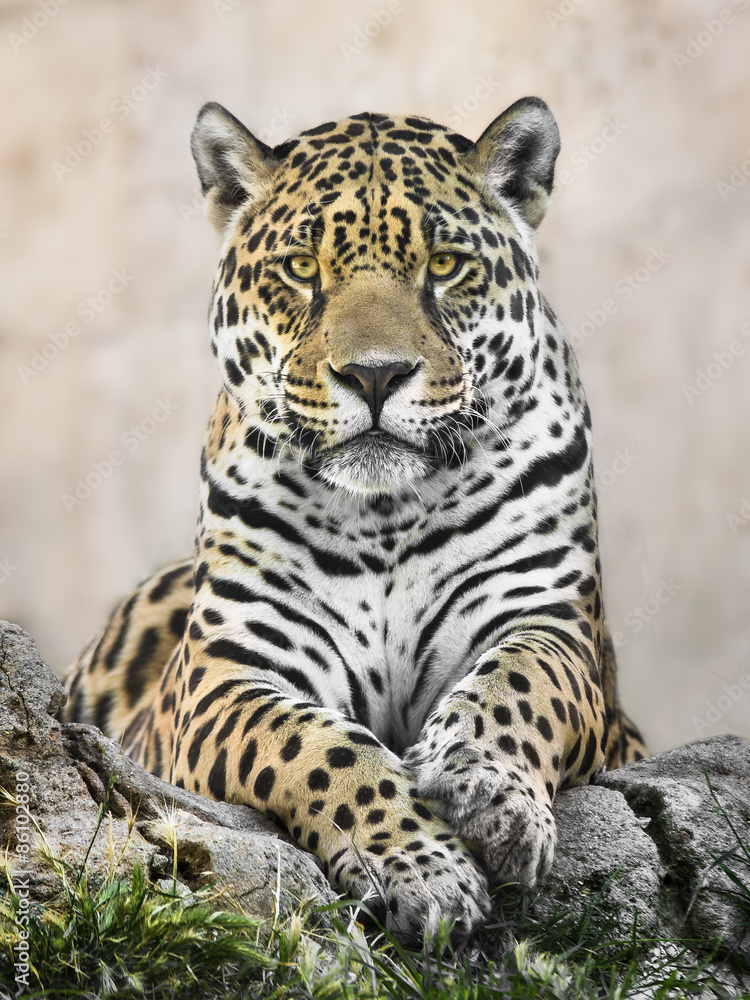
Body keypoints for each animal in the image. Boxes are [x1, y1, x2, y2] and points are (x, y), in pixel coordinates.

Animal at [62, 96, 647, 943]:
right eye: (303, 270)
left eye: (446, 266)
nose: (375, 375)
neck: (386, 514)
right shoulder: (226, 677)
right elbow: (319, 747)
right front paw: (421, 868)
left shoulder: (551, 624)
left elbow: (518, 683)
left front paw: (486, 790)